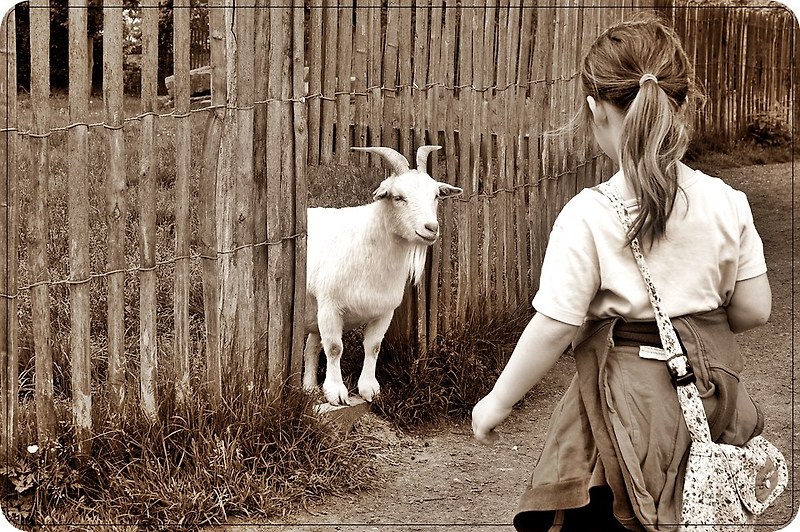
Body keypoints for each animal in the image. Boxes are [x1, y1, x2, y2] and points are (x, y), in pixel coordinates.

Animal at [300, 143, 462, 406]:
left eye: (436, 196)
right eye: (398, 197)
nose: (431, 228)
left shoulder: (384, 311)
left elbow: (373, 346)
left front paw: (369, 389)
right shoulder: (330, 307)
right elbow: (334, 348)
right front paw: (337, 392)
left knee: (311, 346)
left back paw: (309, 388)